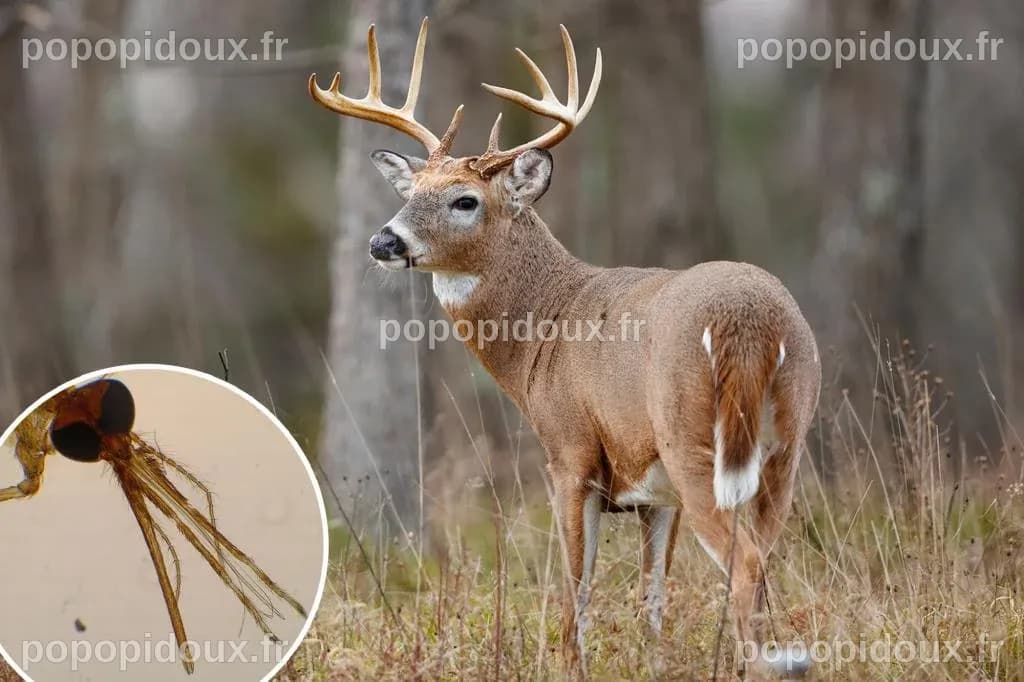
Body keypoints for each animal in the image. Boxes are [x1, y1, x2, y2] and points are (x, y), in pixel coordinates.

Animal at [310, 18, 821, 679]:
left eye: (465, 200)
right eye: (411, 189)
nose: (382, 241)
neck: (543, 333)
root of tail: (750, 321)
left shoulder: (569, 450)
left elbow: (575, 583)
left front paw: (568, 662)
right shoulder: (654, 492)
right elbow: (652, 595)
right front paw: (652, 662)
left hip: (692, 437)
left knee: (746, 564)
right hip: (785, 443)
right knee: (764, 556)